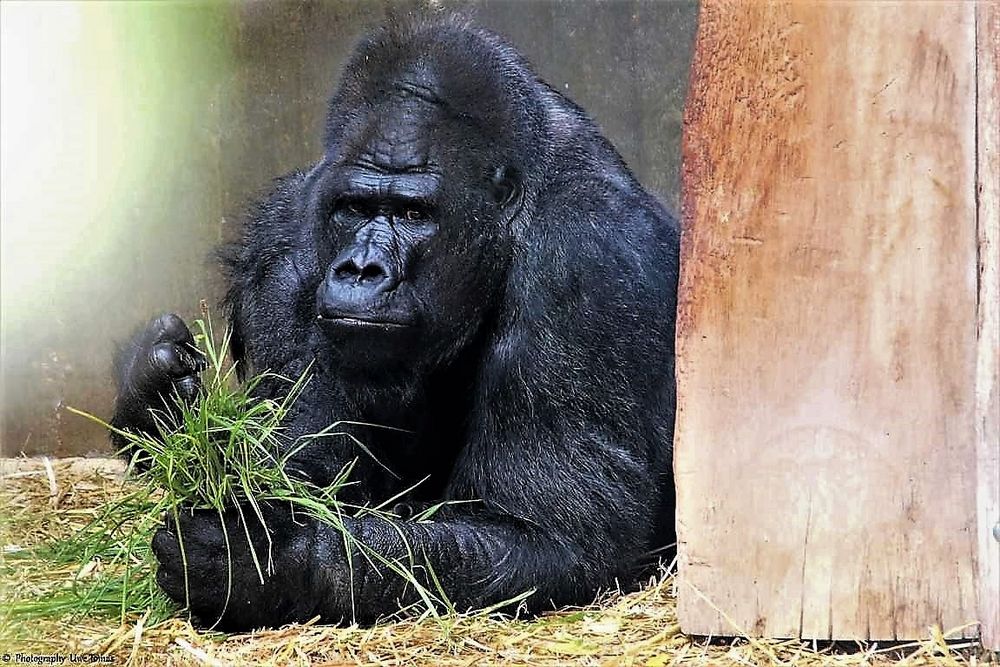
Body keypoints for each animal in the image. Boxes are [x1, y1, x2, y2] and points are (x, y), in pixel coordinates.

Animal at [115, 15, 680, 632]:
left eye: (413, 213)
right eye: (354, 209)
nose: (362, 269)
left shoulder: (586, 264)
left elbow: (550, 538)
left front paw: (265, 559)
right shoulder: (285, 245)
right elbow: (299, 471)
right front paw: (163, 406)